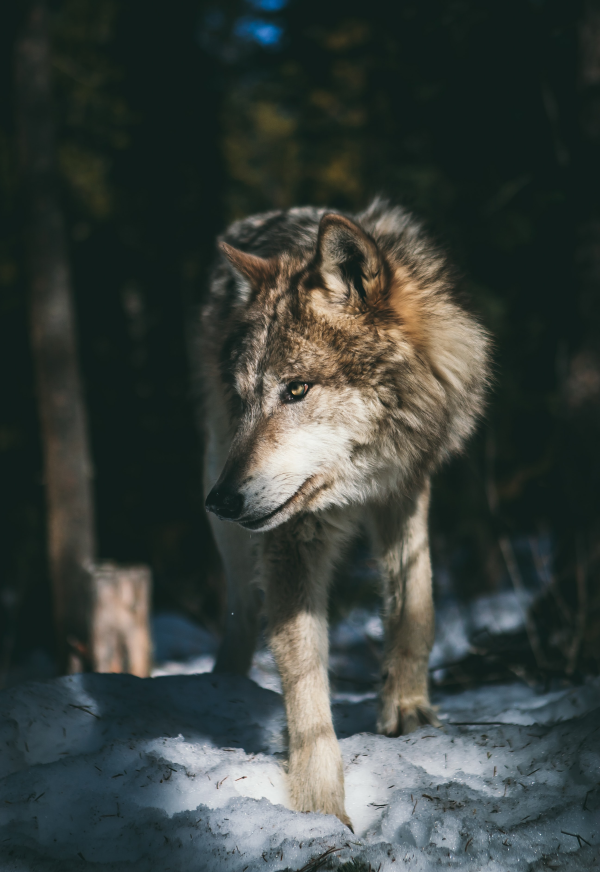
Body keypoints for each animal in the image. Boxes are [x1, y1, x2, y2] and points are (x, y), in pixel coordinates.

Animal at [199, 199, 490, 828]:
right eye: (245, 398)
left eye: (296, 389)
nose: (220, 500)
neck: (358, 479)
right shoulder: (290, 536)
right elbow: (304, 679)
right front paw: (320, 809)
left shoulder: (406, 486)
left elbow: (416, 606)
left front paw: (408, 711)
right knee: (241, 610)